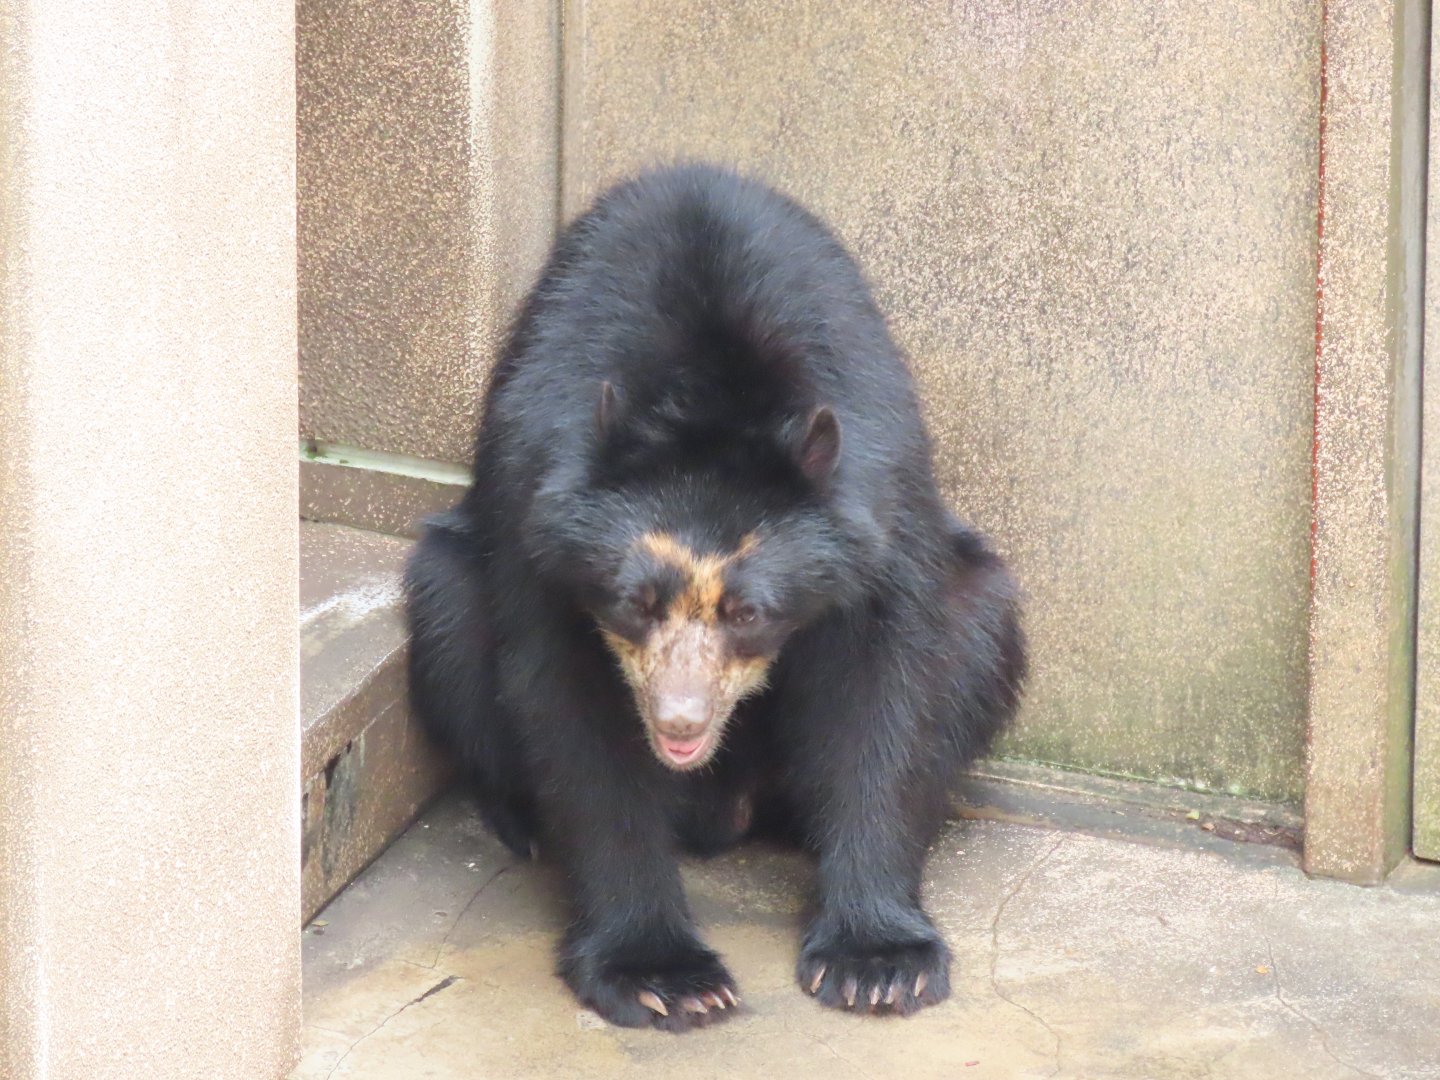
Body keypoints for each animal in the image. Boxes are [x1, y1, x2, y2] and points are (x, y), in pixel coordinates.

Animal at [403, 163, 1026, 1032]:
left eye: (749, 613)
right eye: (633, 604)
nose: (678, 723)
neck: (710, 397)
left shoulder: (881, 493)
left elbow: (885, 691)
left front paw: (878, 965)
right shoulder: (534, 504)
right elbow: (573, 714)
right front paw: (665, 980)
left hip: (985, 602)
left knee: (979, 626)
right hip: (448, 583)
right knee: (450, 616)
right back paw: (523, 823)